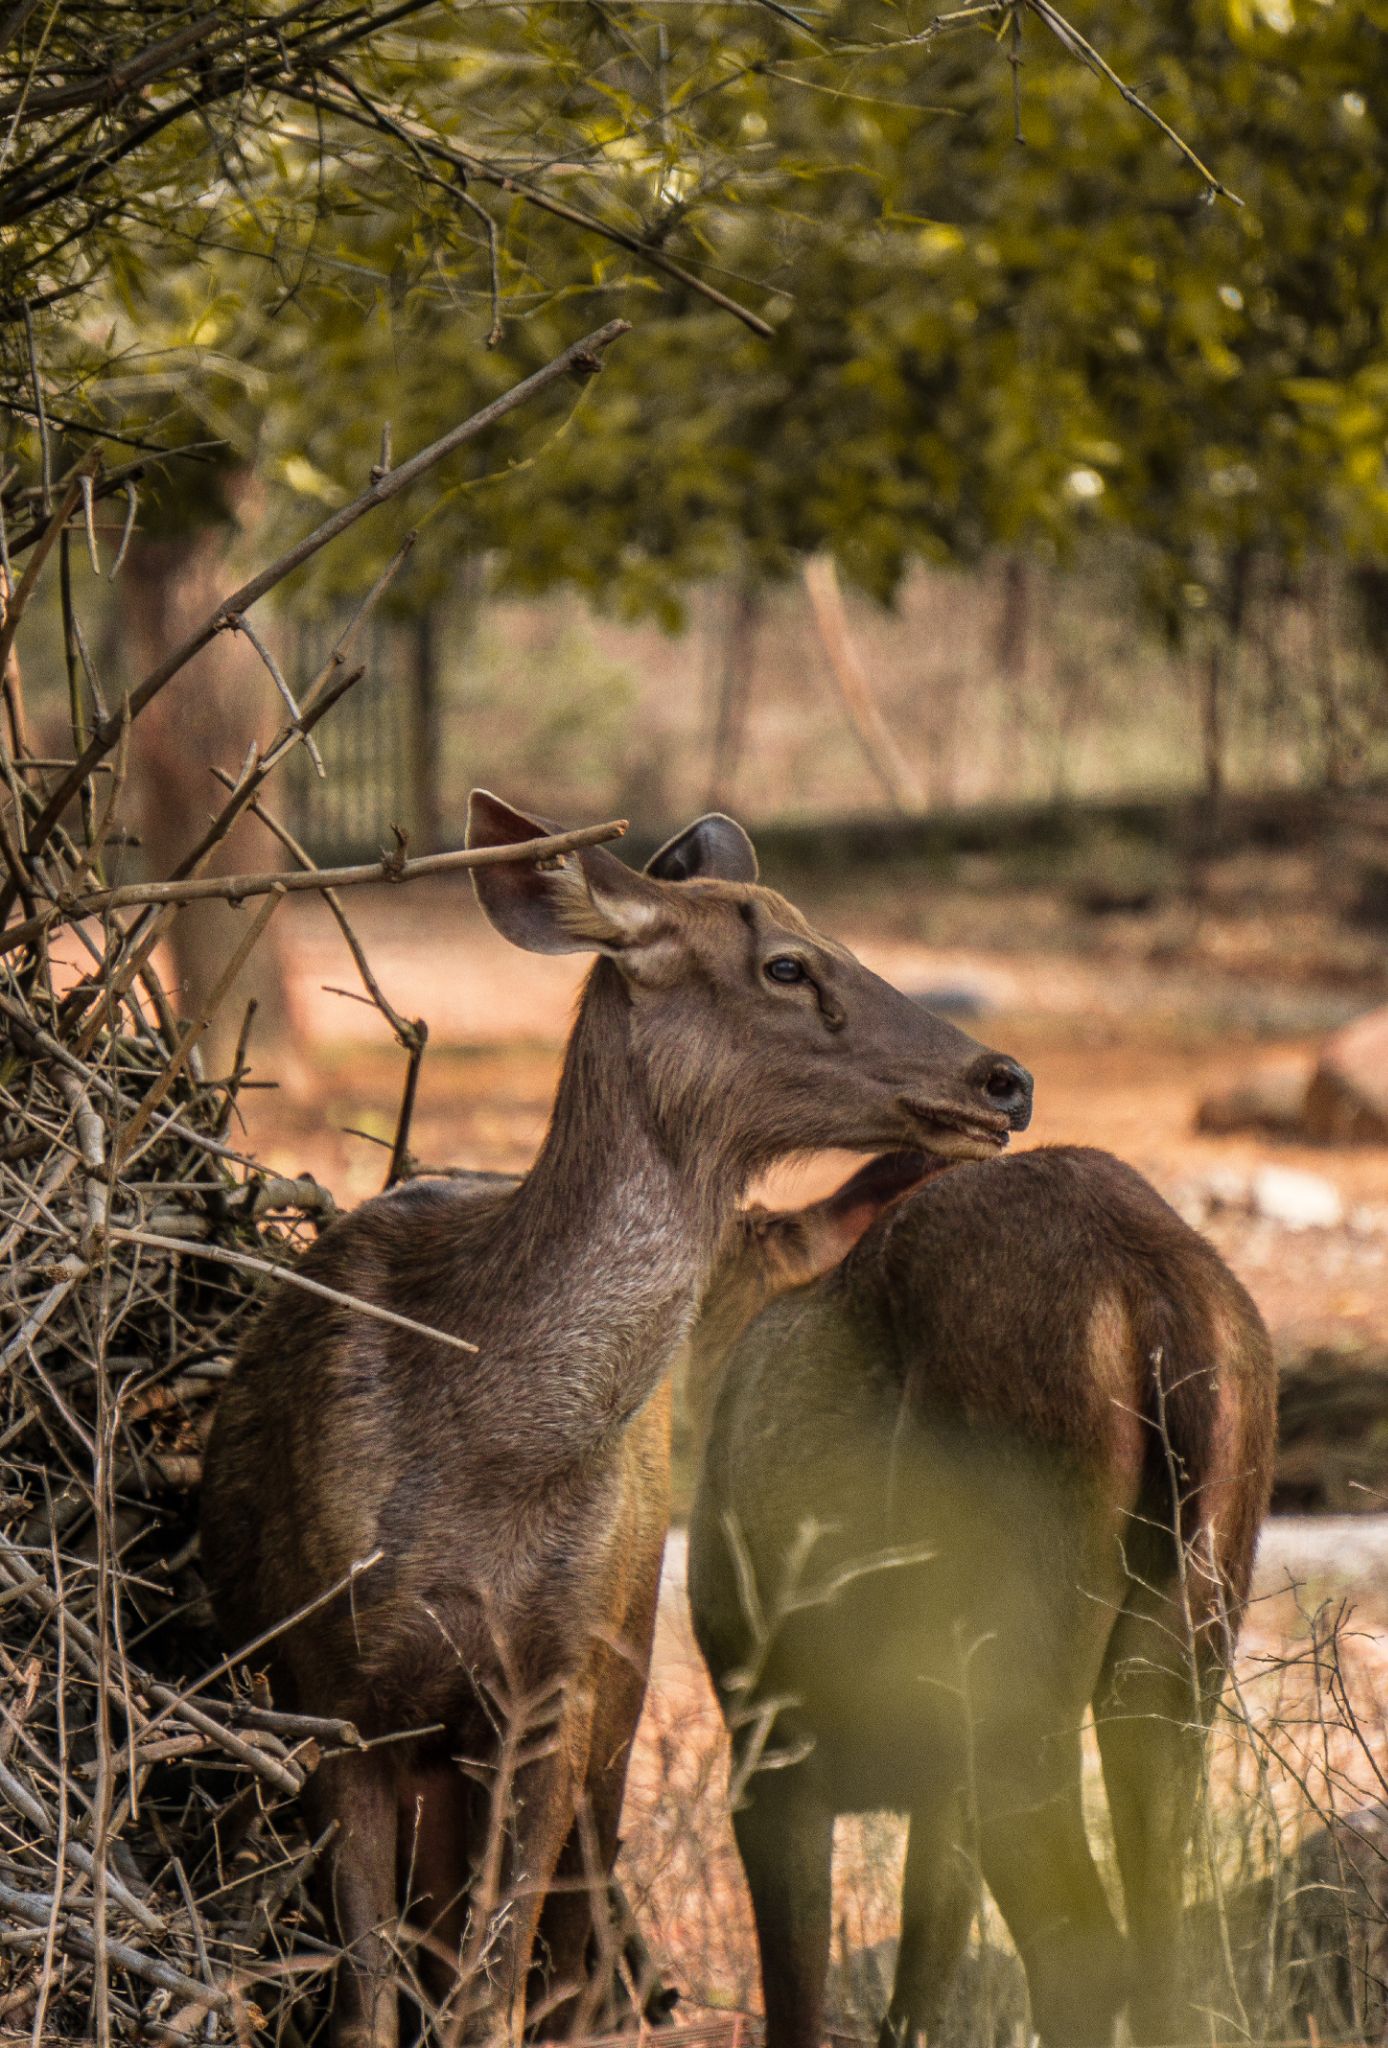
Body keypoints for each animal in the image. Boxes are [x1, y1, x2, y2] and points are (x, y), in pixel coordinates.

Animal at [201, 794, 1039, 2048]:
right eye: (784, 962)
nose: (1004, 1080)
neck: (483, 1458)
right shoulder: (328, 1679)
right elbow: (370, 2006)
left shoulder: (558, 1686)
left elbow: (487, 1998)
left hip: (622, 1684)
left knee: (567, 1957)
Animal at [691, 1146, 1277, 2048]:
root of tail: (1152, 1286)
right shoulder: (938, 1789)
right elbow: (918, 1981)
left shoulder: (768, 1736)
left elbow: (798, 1998)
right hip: (1177, 1648)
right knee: (1166, 1949)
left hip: (1009, 1661)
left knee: (1082, 1948)